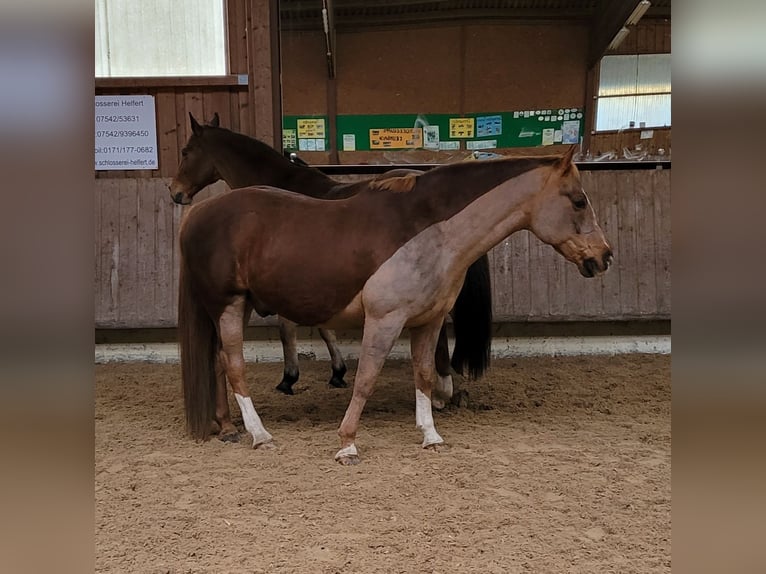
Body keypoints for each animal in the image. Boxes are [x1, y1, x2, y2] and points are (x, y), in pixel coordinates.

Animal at [168, 116, 492, 436]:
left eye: (185, 151)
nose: (175, 191)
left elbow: (294, 329)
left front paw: (295, 376)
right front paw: (335, 372)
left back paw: (441, 390)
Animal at [177, 146, 616, 466]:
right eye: (579, 201)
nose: (604, 256)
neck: (430, 229)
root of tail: (199, 212)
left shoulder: (429, 322)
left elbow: (424, 374)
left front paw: (431, 435)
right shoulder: (384, 320)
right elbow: (366, 379)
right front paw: (347, 443)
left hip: (238, 308)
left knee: (219, 362)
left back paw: (228, 427)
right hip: (228, 305)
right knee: (235, 365)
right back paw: (260, 435)